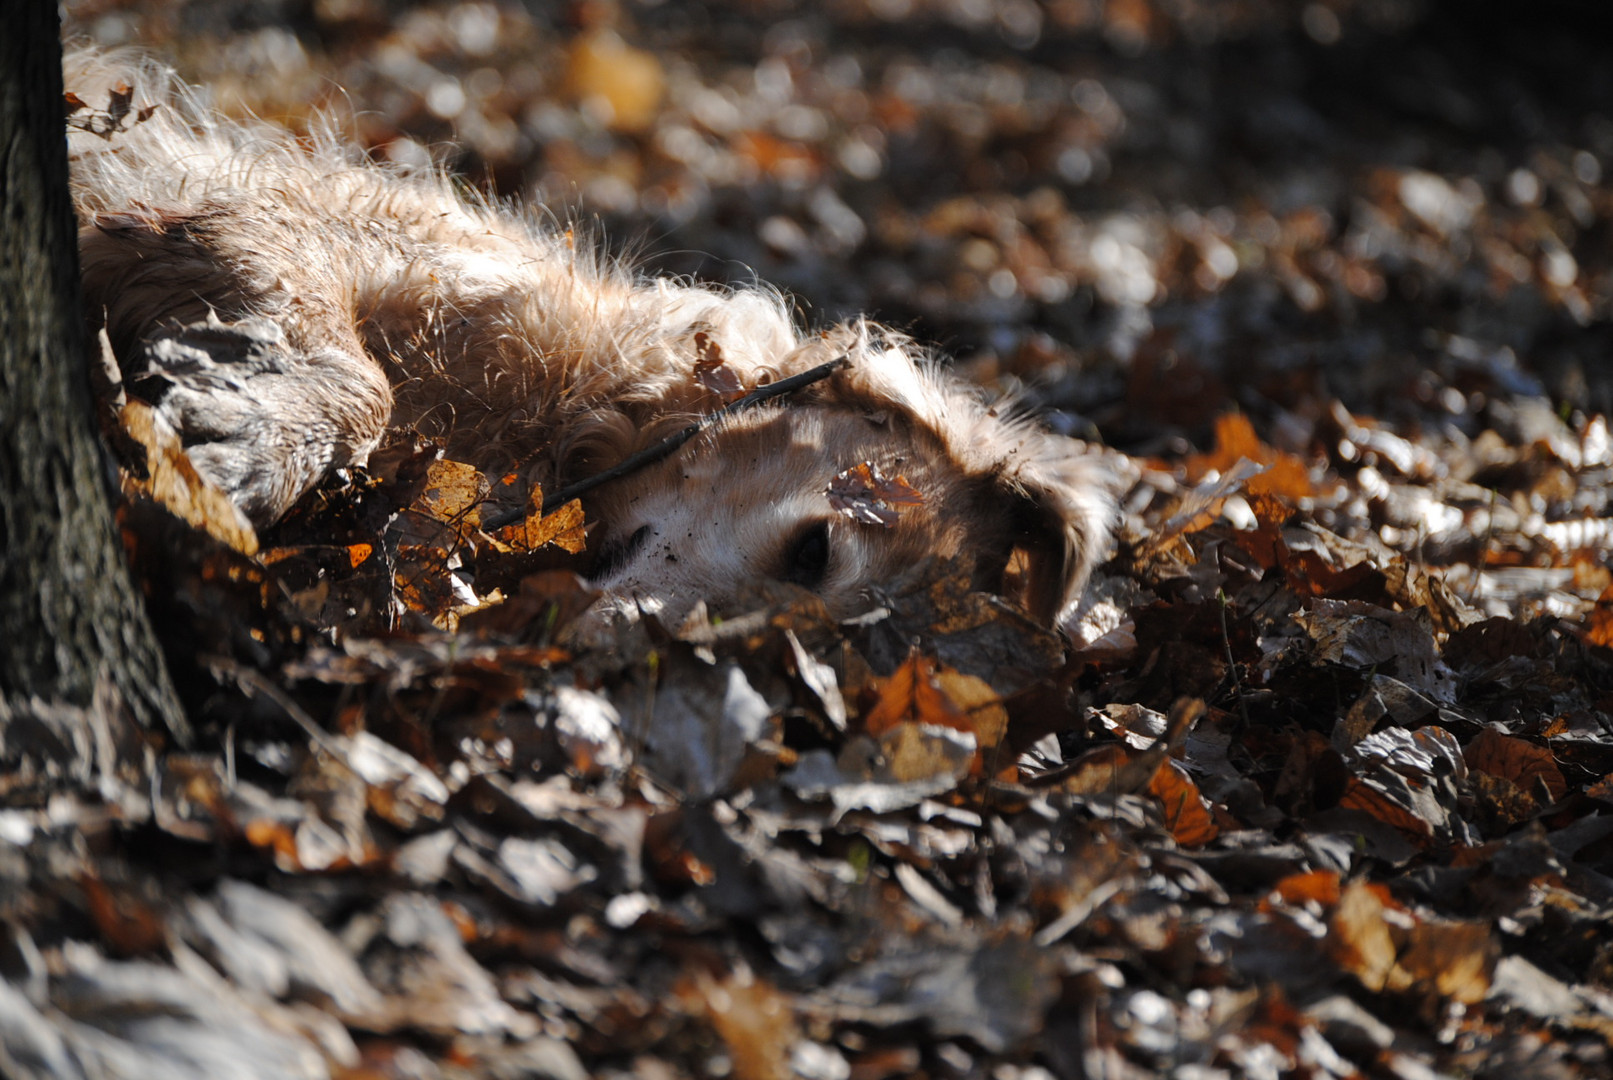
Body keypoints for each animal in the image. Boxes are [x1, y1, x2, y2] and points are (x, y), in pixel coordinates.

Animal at [66, 50, 1122, 631]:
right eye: (816, 553)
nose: (606, 649)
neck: (589, 397)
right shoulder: (246, 218)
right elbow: (361, 383)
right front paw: (253, 439)